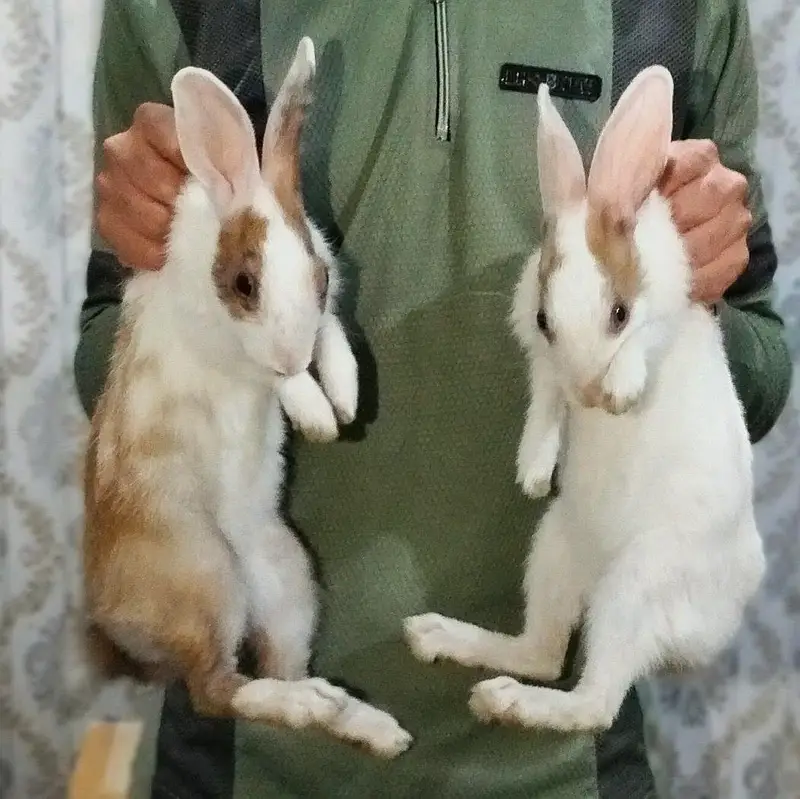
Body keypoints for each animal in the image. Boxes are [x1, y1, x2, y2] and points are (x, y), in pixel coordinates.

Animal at [82, 37, 412, 759]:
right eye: (242, 283)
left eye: (318, 275)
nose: (288, 350)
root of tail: (109, 619)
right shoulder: (239, 349)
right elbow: (280, 379)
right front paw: (318, 416)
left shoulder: (324, 313)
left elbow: (334, 341)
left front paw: (345, 399)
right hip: (204, 581)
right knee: (218, 690)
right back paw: (323, 707)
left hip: (288, 579)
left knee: (274, 669)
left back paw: (362, 721)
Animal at [403, 65, 765, 733]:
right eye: (545, 319)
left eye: (618, 312)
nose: (591, 395)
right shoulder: (546, 368)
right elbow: (545, 403)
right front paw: (532, 473)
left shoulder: (660, 317)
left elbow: (644, 345)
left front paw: (621, 392)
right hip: (553, 549)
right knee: (544, 653)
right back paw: (442, 641)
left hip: (635, 590)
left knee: (592, 702)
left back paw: (506, 700)